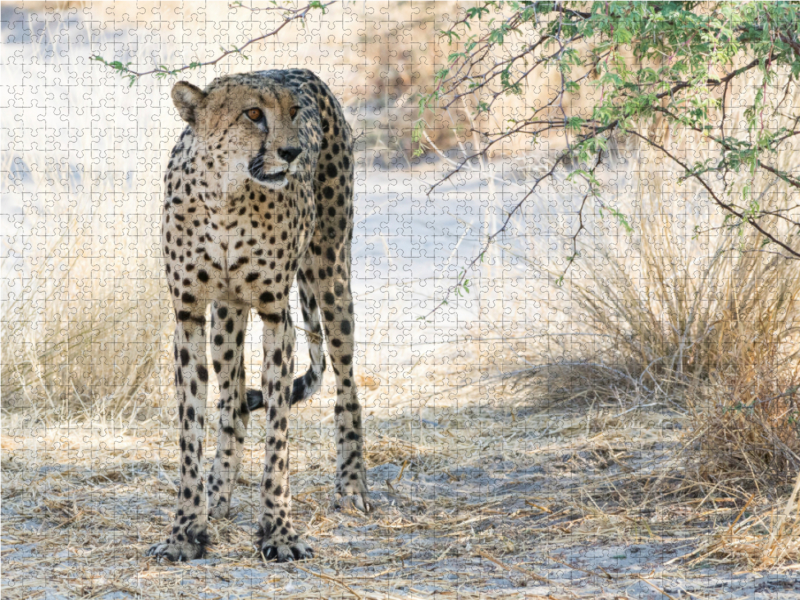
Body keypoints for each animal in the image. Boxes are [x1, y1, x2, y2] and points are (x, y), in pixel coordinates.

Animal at [148, 70, 370, 564]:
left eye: (293, 111)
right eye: (253, 114)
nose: (292, 152)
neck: (225, 196)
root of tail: (305, 71)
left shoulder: (275, 315)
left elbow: (279, 435)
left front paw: (279, 531)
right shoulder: (189, 315)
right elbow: (190, 430)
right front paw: (187, 529)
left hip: (331, 274)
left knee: (346, 387)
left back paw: (351, 486)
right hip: (226, 316)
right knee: (233, 405)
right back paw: (218, 494)